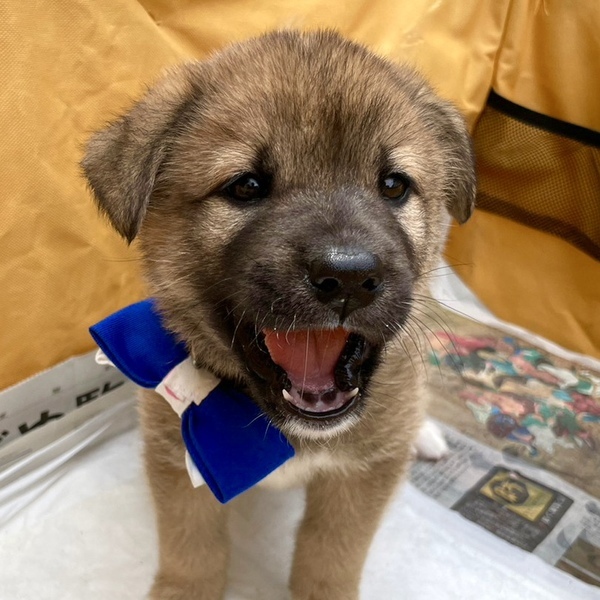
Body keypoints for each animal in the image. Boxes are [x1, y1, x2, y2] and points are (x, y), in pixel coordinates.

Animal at [82, 30, 475, 599]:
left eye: (394, 185)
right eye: (246, 186)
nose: (348, 277)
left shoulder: (357, 481)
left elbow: (329, 559)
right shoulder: (175, 463)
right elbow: (190, 551)